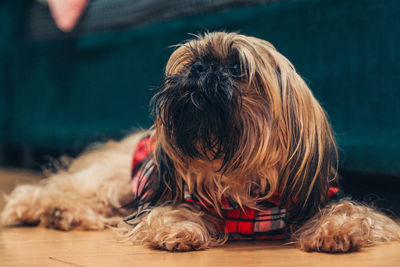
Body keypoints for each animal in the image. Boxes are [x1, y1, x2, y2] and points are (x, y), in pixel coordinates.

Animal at [0, 31, 400, 253]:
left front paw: (338, 231)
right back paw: (49, 210)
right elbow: (171, 214)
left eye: (236, 68)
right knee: (53, 188)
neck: (238, 179)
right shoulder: (174, 197)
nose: (199, 68)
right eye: (192, 63)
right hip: (110, 180)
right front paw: (179, 230)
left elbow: (351, 213)